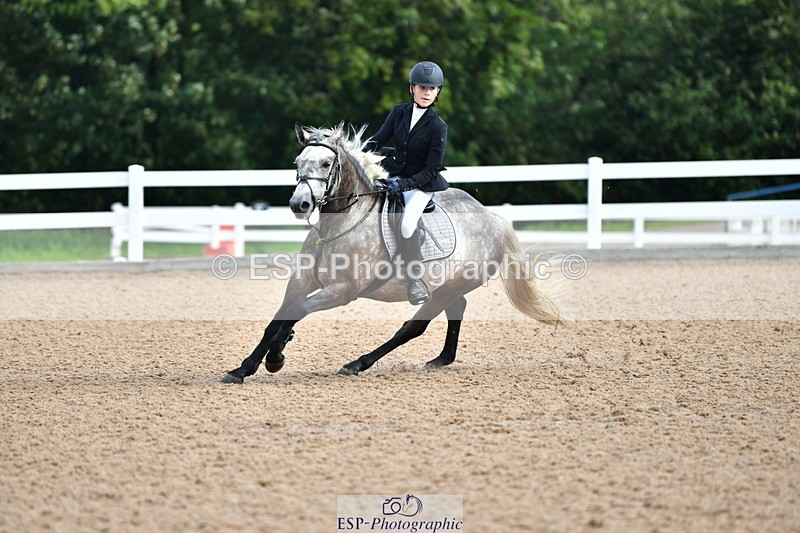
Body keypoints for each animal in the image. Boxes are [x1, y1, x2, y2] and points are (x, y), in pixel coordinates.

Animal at [221, 123, 566, 383]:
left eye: (325, 164)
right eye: (297, 163)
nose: (299, 204)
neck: (338, 225)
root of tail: (492, 217)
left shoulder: (342, 291)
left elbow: (297, 311)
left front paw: (276, 357)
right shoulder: (301, 281)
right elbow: (278, 319)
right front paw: (243, 368)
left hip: (453, 284)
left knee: (414, 326)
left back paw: (358, 364)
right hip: (449, 284)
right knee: (456, 308)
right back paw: (441, 359)